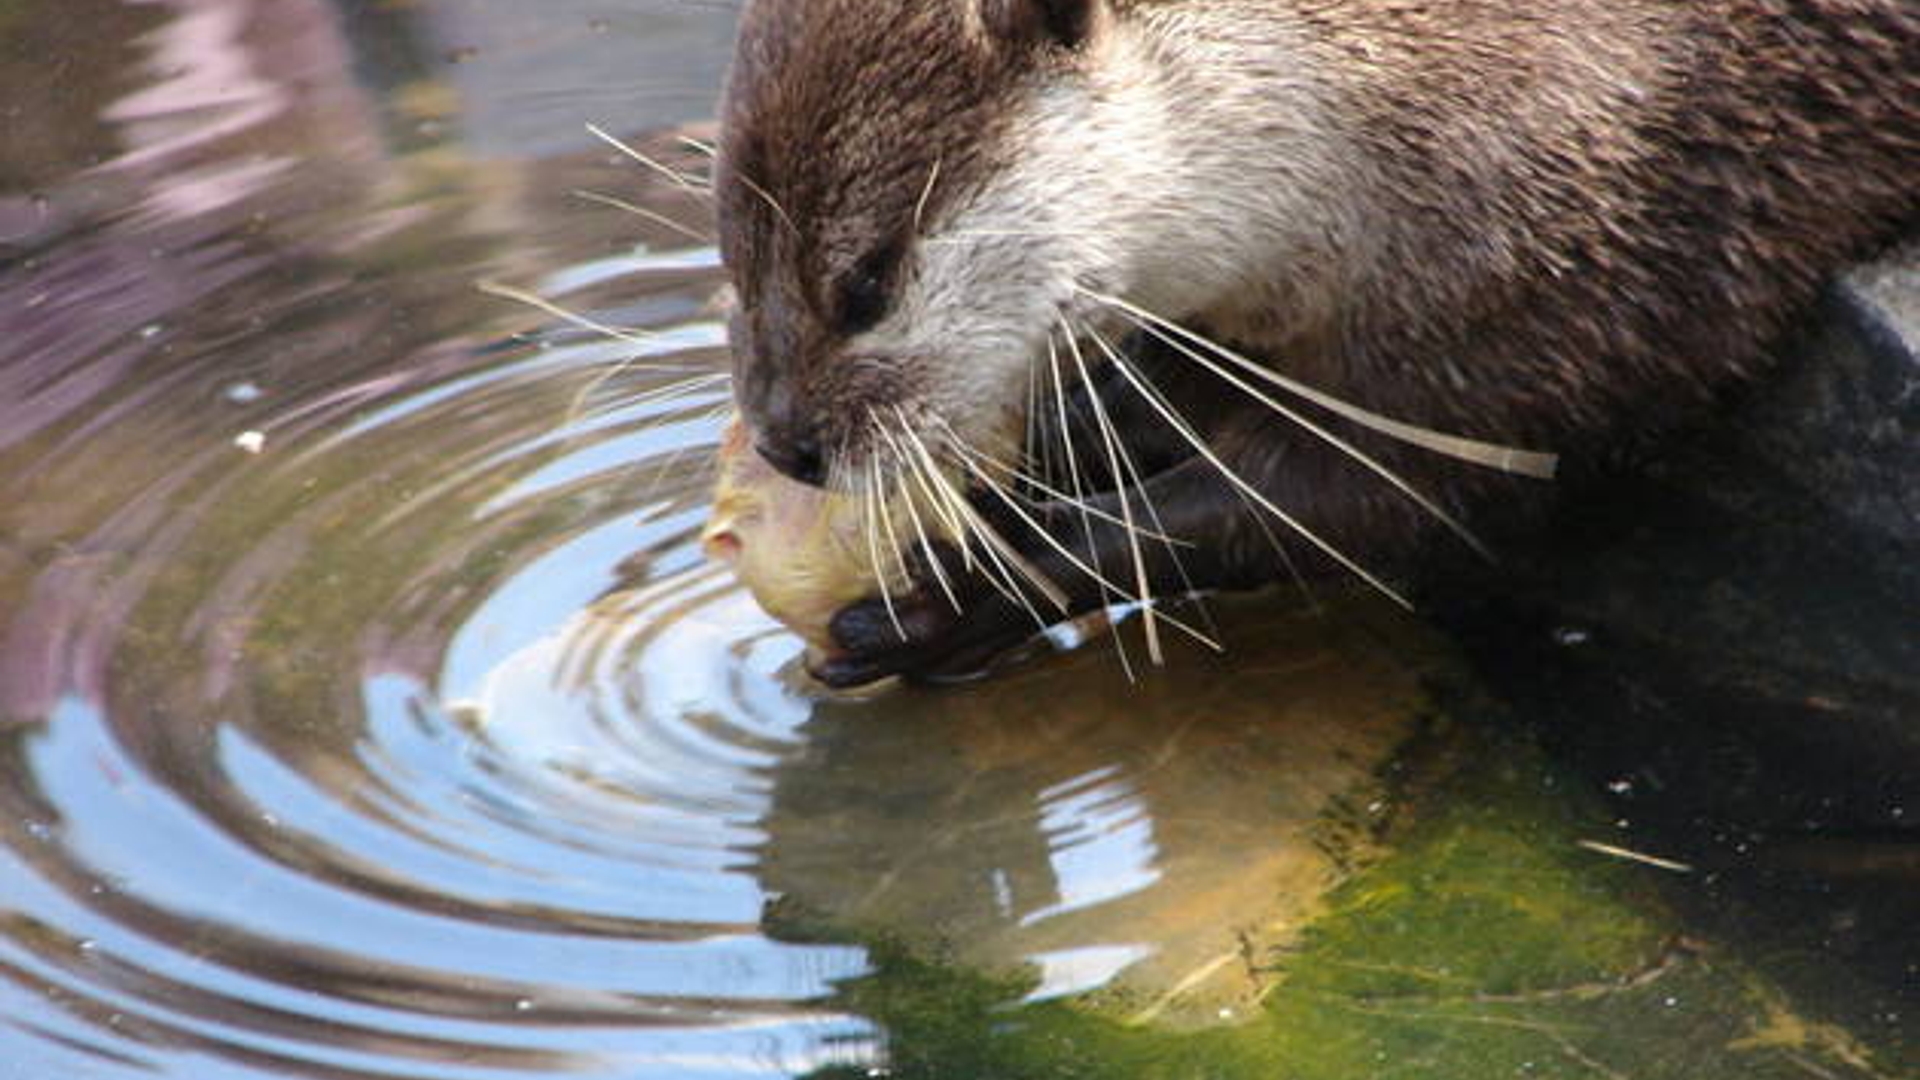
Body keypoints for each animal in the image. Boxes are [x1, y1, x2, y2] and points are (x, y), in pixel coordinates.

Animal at [714, 0, 1920, 684]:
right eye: (729, 258)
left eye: (865, 284)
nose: (785, 445)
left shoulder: (1540, 274)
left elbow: (1362, 501)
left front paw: (980, 586)